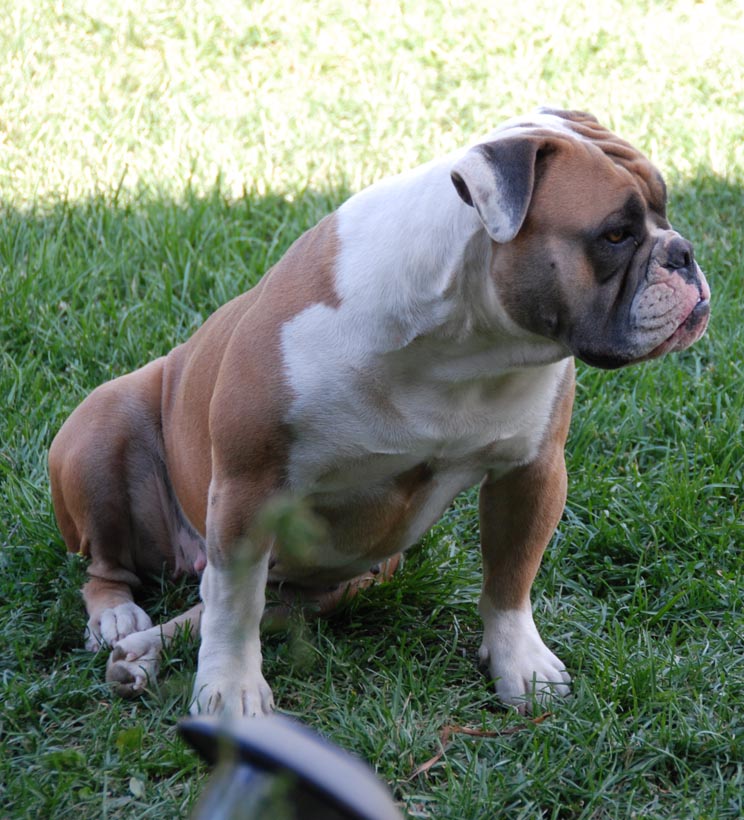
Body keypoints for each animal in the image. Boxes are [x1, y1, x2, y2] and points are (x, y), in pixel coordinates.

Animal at [49, 110, 712, 716]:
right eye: (615, 235)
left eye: (665, 210)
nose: (683, 252)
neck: (465, 339)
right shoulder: (248, 487)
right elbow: (235, 609)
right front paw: (231, 689)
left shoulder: (531, 471)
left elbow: (510, 577)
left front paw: (519, 664)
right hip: (100, 431)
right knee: (118, 569)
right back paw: (119, 622)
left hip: (344, 575)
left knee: (237, 602)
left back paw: (143, 653)